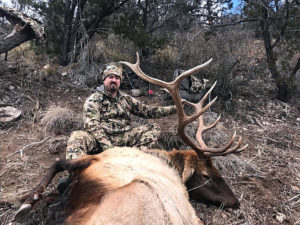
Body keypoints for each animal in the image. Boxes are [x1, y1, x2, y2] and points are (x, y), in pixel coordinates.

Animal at [14, 53, 246, 224]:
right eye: (207, 175)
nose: (235, 201)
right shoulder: (104, 156)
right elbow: (57, 164)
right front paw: (26, 201)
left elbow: (57, 165)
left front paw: (29, 201)